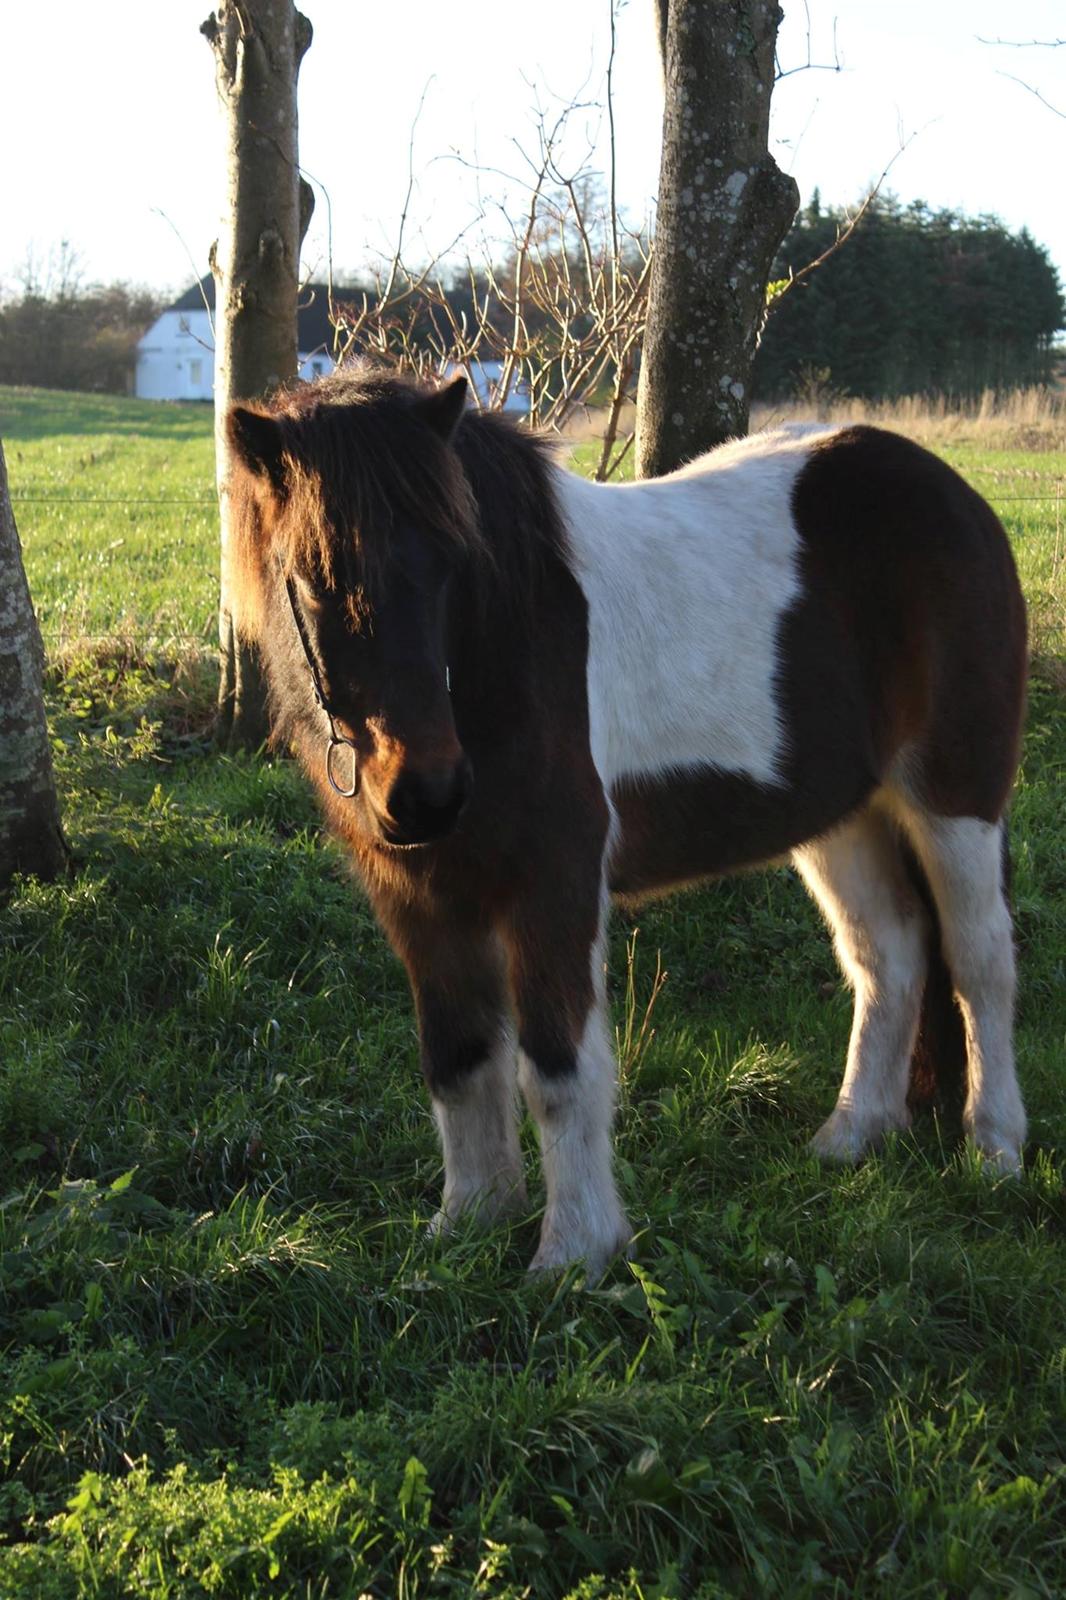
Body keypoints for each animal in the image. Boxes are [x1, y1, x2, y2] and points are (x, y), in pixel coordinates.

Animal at [222, 366, 1024, 1273]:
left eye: (451, 560)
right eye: (310, 575)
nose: (427, 794)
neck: (503, 653)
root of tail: (954, 495)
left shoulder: (553, 886)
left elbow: (557, 1067)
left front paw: (573, 1253)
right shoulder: (423, 900)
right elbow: (459, 1060)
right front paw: (470, 1225)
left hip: (953, 799)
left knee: (980, 958)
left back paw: (996, 1147)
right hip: (843, 818)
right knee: (889, 953)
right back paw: (852, 1135)